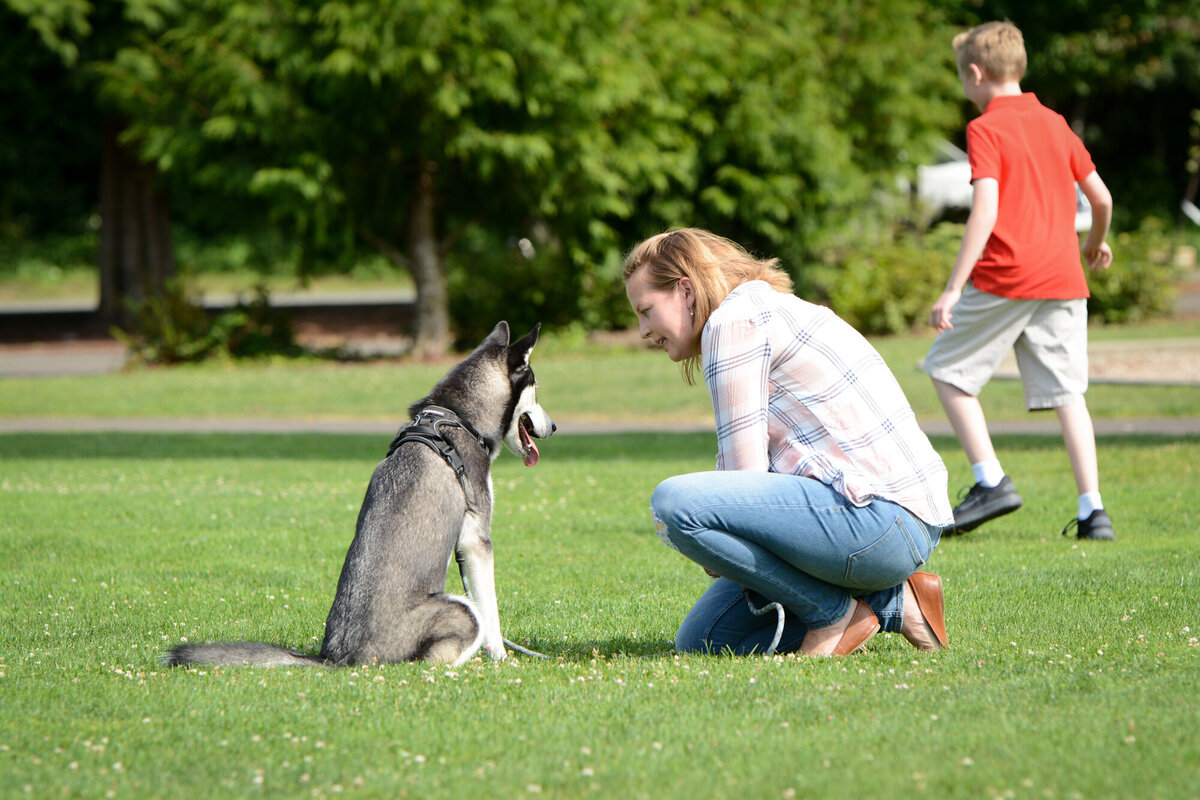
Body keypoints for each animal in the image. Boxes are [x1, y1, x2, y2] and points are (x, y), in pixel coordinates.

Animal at [165, 321, 556, 671]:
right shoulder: (476, 539)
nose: (554, 427)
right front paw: (501, 658)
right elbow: (492, 614)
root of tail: (337, 658)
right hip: (461, 610)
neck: (458, 415)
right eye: (536, 389)